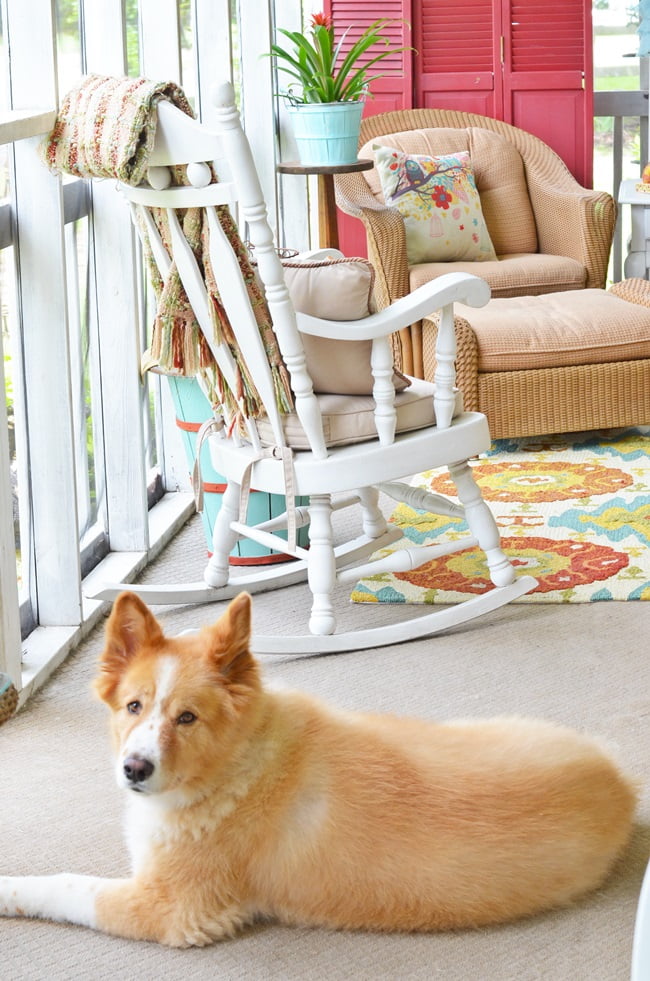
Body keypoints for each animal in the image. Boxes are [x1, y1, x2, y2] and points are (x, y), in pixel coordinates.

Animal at [0, 592, 636, 944]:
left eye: (187, 718)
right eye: (133, 707)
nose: (134, 769)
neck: (238, 766)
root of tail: (623, 787)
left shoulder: (169, 907)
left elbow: (69, 885)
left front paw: (10, 890)